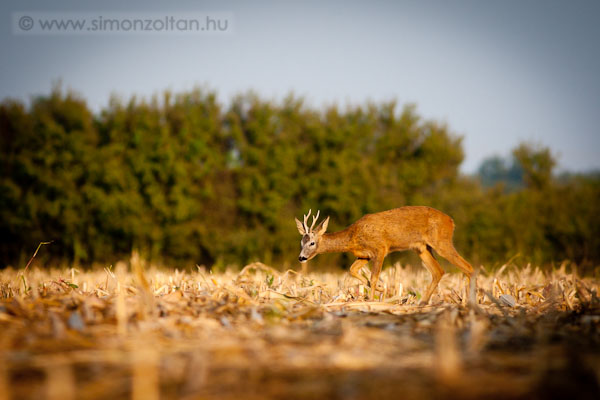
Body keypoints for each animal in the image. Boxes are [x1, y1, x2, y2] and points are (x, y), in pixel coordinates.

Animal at [296, 206, 474, 304]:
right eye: (301, 242)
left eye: (312, 243)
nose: (301, 258)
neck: (353, 236)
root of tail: (451, 221)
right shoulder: (364, 255)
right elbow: (352, 270)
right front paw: (382, 288)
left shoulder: (380, 248)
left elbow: (374, 277)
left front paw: (372, 300)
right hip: (422, 248)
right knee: (439, 271)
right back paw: (422, 303)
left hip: (441, 242)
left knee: (468, 267)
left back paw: (468, 303)